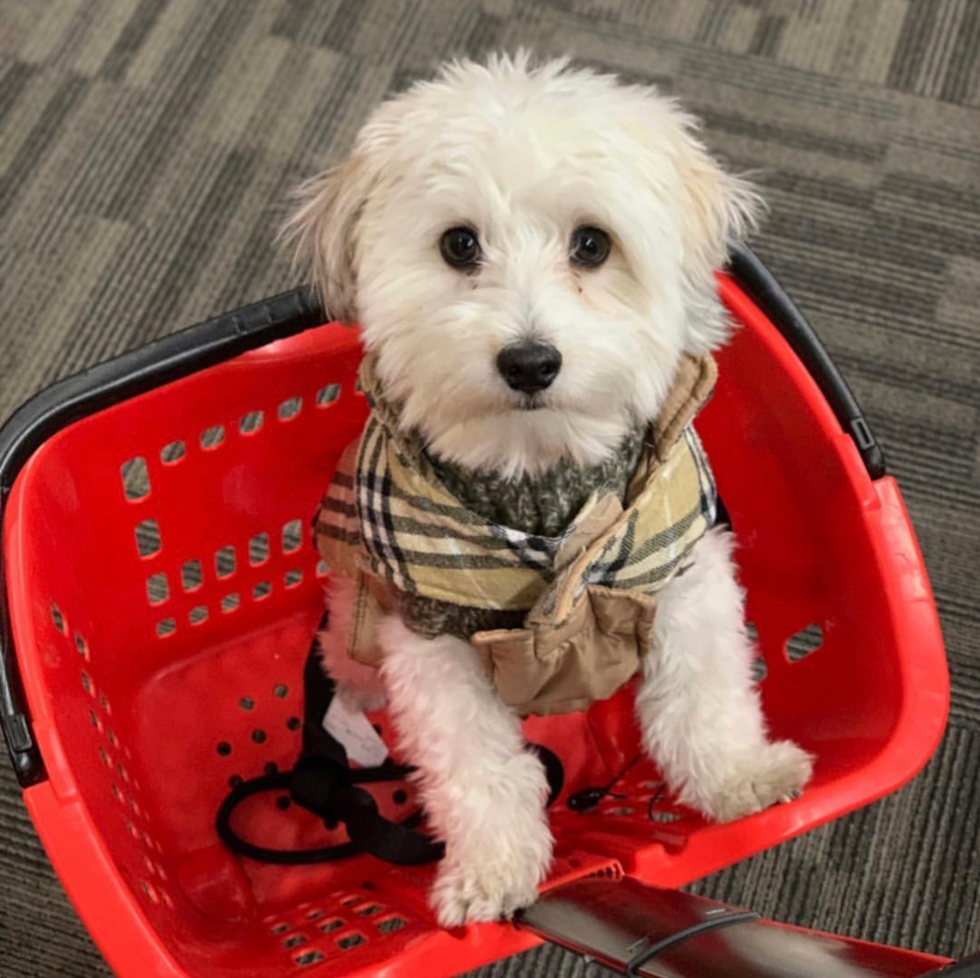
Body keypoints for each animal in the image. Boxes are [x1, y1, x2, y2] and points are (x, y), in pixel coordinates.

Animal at [282, 51, 812, 924]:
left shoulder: (681, 569)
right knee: (344, 689)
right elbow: (477, 767)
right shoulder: (428, 634)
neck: (537, 473)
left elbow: (703, 692)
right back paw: (355, 736)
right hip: (351, 620)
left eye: (593, 244)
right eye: (459, 244)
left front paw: (739, 774)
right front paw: (491, 869)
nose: (530, 361)